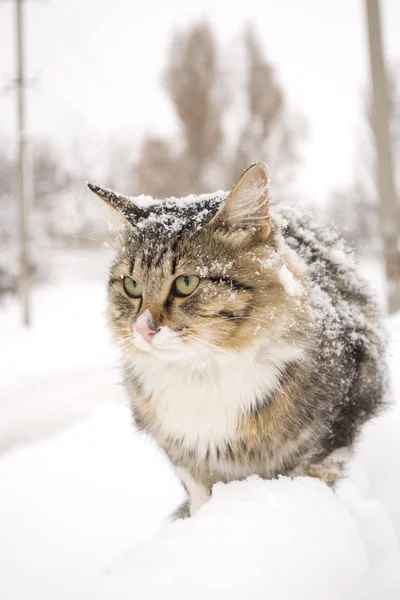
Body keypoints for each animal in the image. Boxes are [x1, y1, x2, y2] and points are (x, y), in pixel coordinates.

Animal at [87, 163, 388, 516]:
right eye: (132, 286)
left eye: (186, 283)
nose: (143, 329)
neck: (204, 374)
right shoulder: (187, 460)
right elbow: (201, 498)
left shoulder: (332, 434)